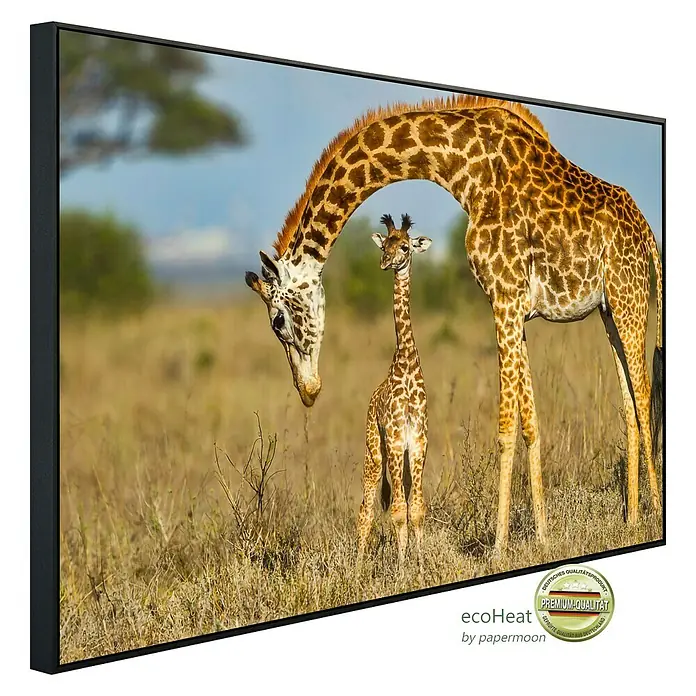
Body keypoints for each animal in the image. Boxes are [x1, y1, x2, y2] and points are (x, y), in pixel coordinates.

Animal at [245, 94, 664, 553]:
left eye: (278, 321)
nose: (308, 391)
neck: (462, 167)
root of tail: (647, 233)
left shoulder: (504, 298)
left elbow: (506, 425)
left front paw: (498, 546)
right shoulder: (517, 309)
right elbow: (531, 422)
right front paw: (542, 536)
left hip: (629, 297)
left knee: (645, 395)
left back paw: (654, 515)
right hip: (609, 310)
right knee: (629, 401)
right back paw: (631, 519)